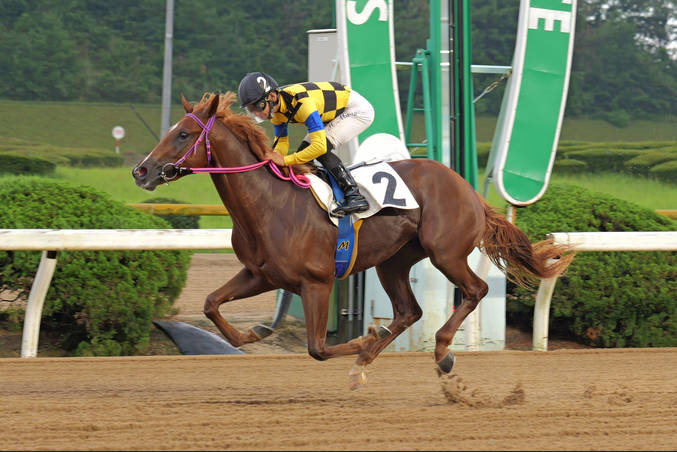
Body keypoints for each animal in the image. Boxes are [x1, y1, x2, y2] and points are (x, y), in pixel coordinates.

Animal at [132, 92, 573, 389]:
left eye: (183, 133)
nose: (141, 171)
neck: (269, 204)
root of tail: (466, 187)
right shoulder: (261, 274)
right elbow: (211, 304)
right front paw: (252, 335)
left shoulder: (316, 282)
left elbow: (317, 348)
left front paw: (363, 337)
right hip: (392, 261)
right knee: (408, 311)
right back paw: (367, 361)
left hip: (445, 252)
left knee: (475, 289)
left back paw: (440, 350)